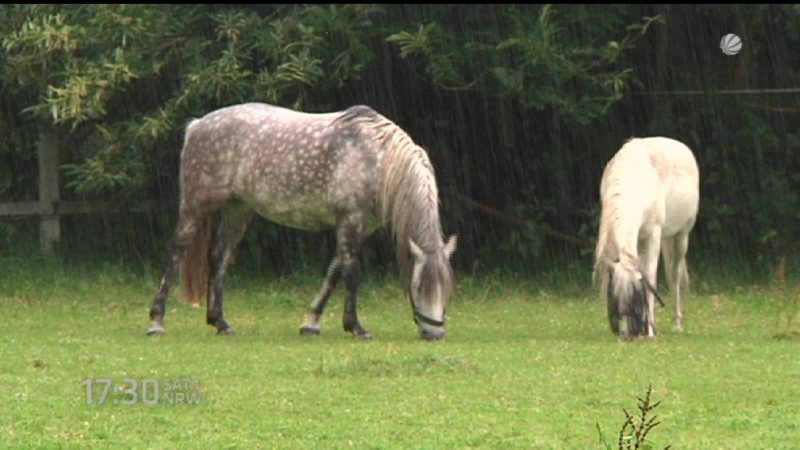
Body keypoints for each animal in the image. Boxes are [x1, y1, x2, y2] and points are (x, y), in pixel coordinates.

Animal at [145, 103, 456, 342]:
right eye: (419, 287)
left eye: (448, 289)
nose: (435, 334)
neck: (378, 161)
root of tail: (197, 125)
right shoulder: (350, 221)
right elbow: (351, 274)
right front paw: (355, 327)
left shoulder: (358, 227)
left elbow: (334, 272)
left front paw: (311, 323)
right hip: (196, 205)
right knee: (175, 252)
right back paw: (157, 322)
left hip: (237, 210)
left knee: (219, 258)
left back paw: (220, 322)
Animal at [592, 137, 700, 338]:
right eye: (617, 300)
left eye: (636, 299)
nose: (631, 335)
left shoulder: (654, 235)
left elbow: (651, 275)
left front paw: (649, 331)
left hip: (682, 236)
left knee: (675, 274)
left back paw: (678, 323)